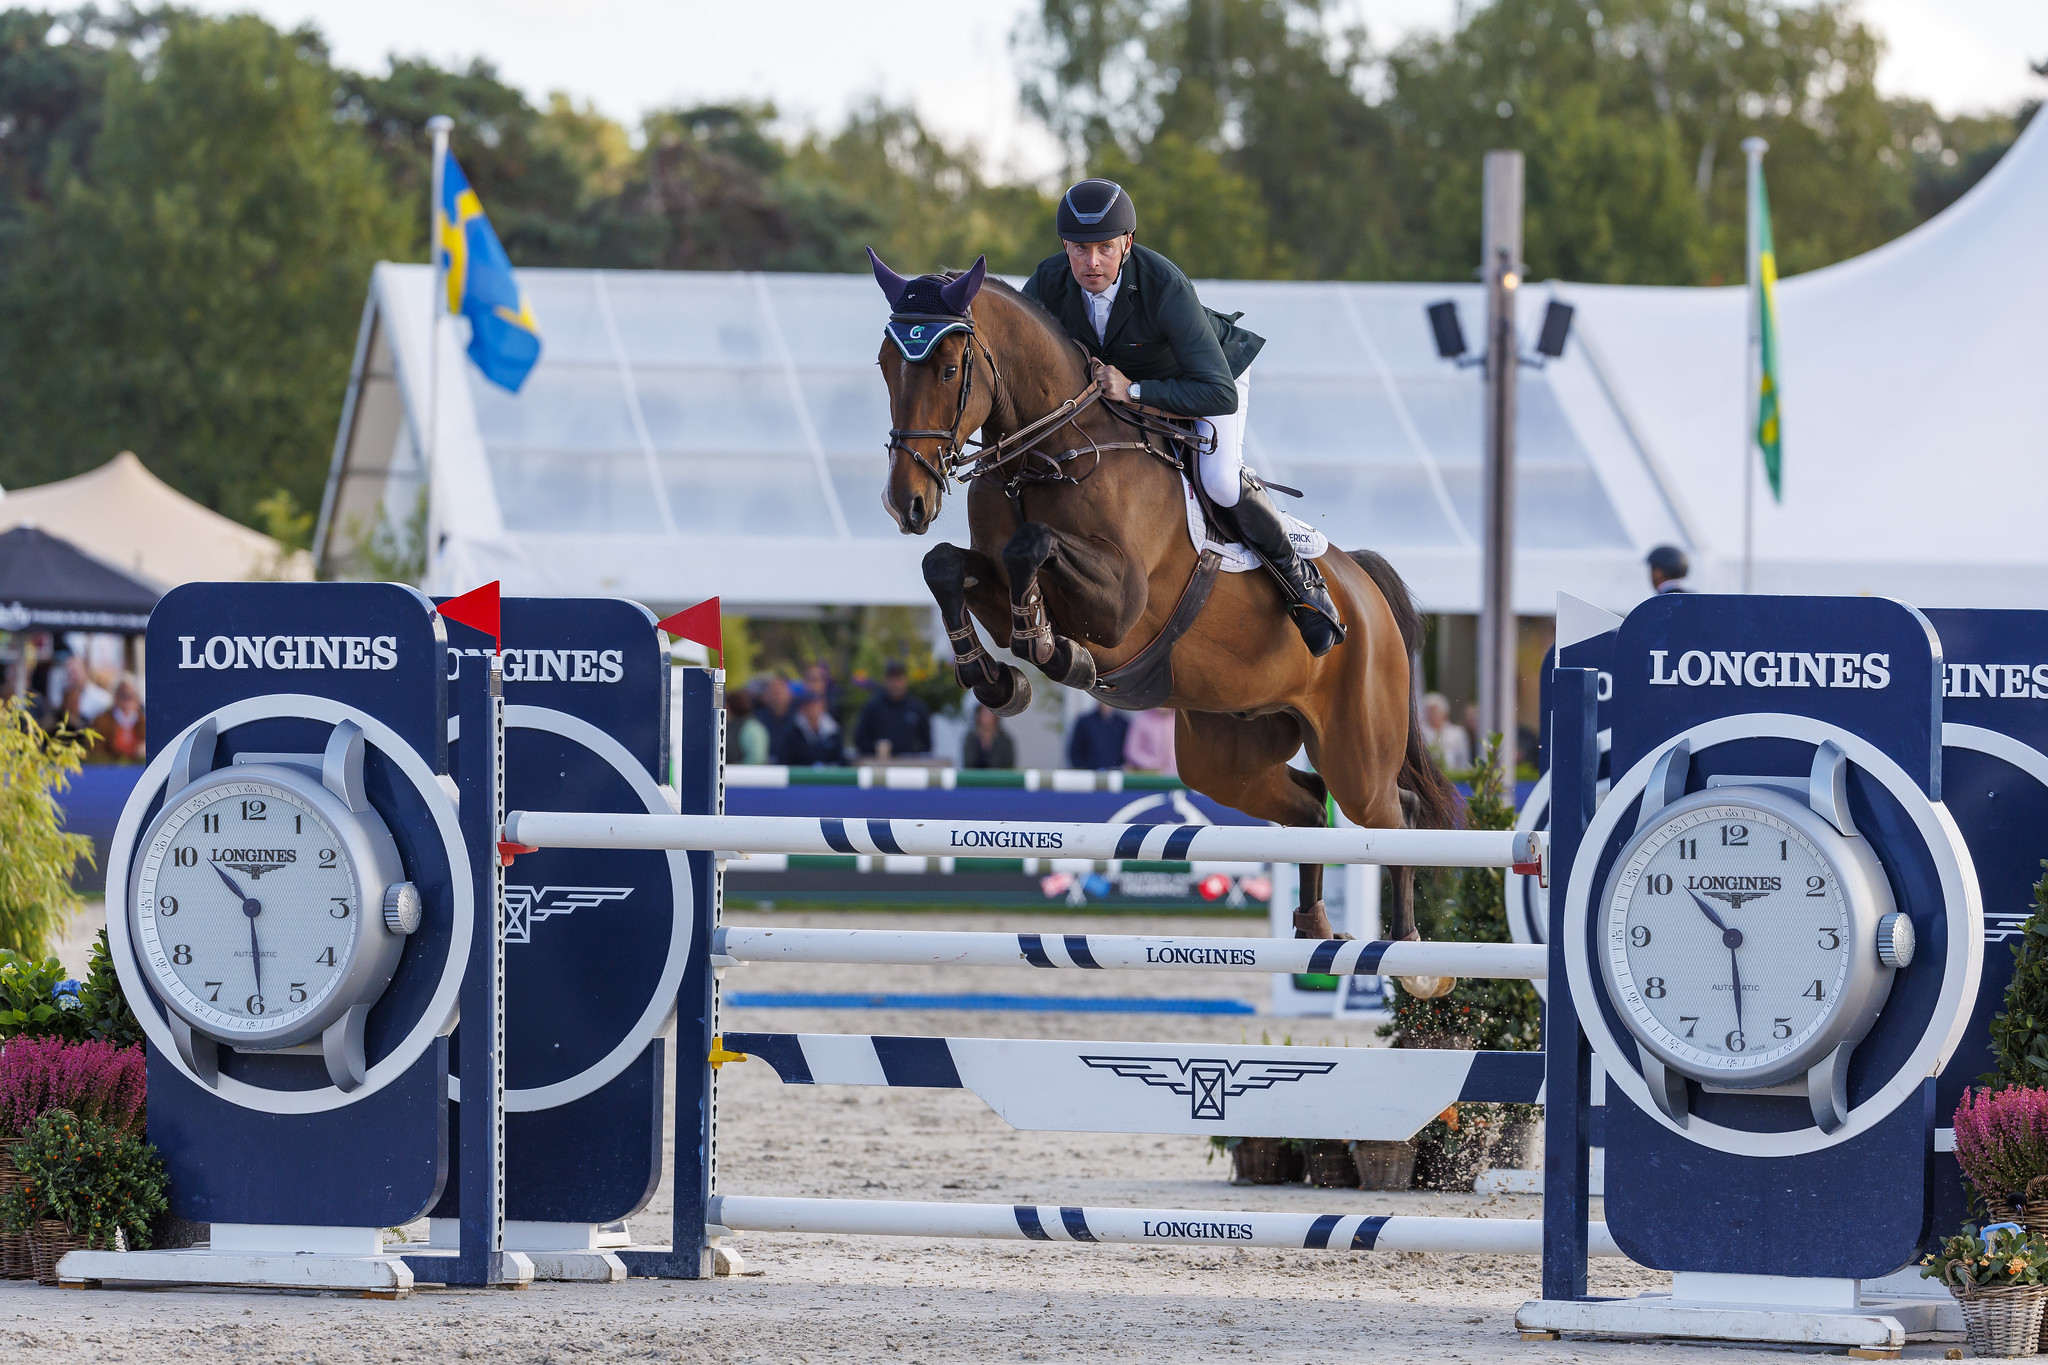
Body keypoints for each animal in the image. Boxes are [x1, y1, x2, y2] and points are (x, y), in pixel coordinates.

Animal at [864, 253, 1458, 982]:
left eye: (949, 369)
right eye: (885, 364)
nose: (907, 503)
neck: (1049, 453)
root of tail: (1365, 588)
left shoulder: (1120, 606)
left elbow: (1031, 546)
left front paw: (1052, 649)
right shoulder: (992, 577)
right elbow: (948, 566)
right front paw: (998, 679)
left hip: (1358, 748)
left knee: (1391, 812)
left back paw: (1414, 956)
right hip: (1227, 748)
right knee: (1306, 803)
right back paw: (1316, 926)